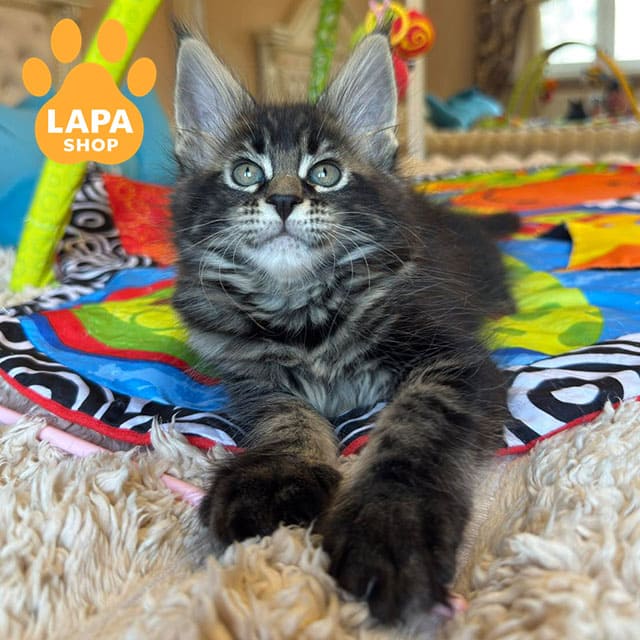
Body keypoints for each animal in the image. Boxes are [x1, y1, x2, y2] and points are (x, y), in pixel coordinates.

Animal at [171, 32, 515, 624]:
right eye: (246, 173)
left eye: (325, 173)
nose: (284, 199)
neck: (301, 311)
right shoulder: (252, 380)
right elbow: (285, 419)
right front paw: (274, 477)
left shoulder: (452, 361)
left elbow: (414, 430)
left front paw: (391, 526)